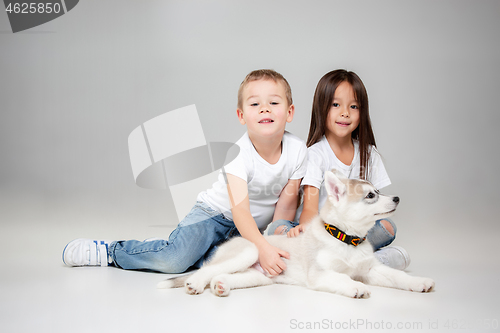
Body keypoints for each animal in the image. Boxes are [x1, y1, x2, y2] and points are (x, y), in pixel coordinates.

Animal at [159, 170, 434, 296]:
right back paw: (196, 283)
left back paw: (221, 285)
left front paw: (420, 282)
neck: (347, 240)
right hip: (249, 251)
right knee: (206, 269)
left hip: (260, 276)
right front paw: (356, 287)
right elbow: (342, 278)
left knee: (223, 275)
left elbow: (398, 276)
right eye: (370, 196)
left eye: (378, 191)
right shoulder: (320, 273)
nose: (397, 198)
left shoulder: (371, 269)